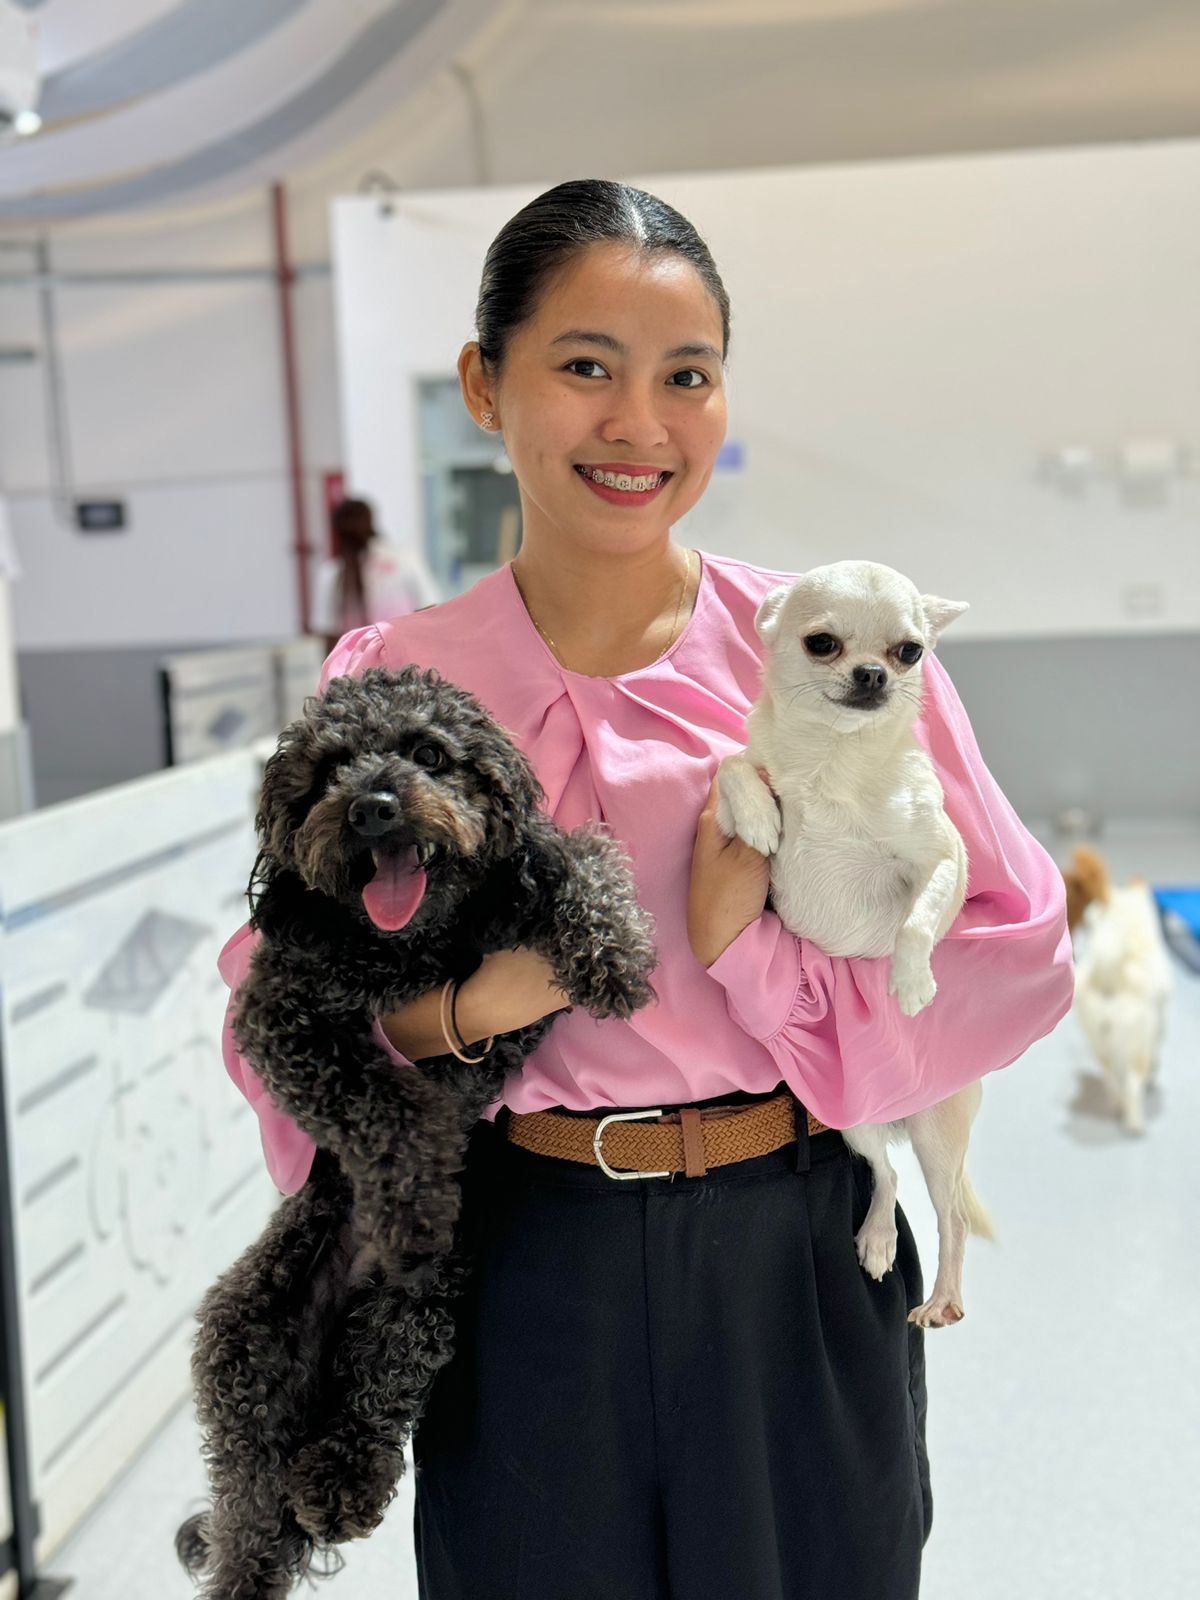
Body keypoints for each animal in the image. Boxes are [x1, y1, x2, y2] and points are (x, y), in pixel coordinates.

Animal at [176, 668, 659, 1593]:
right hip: (250, 1351)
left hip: (429, 1298)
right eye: (328, 770)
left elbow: (573, 858)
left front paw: (613, 945)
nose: (372, 807)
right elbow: (386, 1105)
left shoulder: (509, 963)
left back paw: (343, 1481)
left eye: (430, 754)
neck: (407, 947)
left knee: (382, 1380)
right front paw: (411, 1201)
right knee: (249, 1528)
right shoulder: (282, 1018)